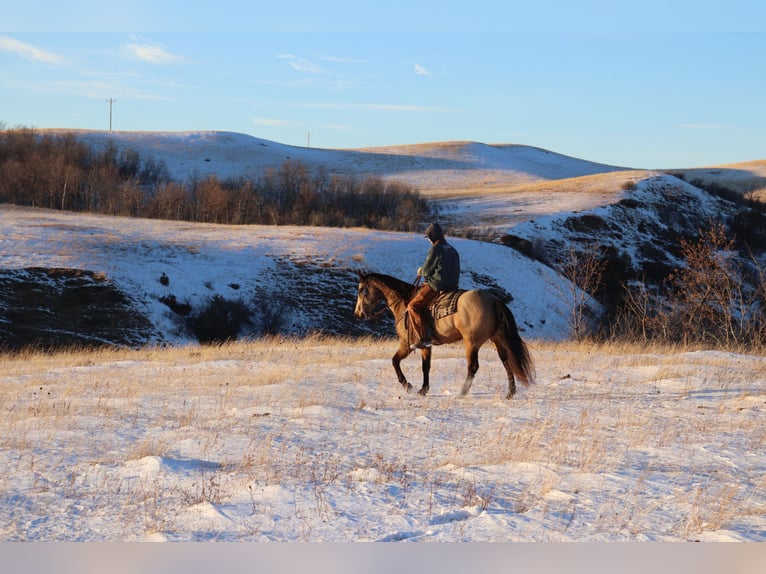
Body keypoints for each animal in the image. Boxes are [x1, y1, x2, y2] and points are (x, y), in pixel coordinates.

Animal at [354, 274, 536, 400]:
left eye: (361, 290)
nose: (357, 314)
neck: (404, 303)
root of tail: (493, 300)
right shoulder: (425, 346)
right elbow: (425, 367)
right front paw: (423, 389)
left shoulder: (406, 344)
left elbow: (394, 361)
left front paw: (408, 386)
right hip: (498, 339)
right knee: (506, 362)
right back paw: (510, 392)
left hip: (471, 343)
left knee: (473, 367)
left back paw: (462, 392)